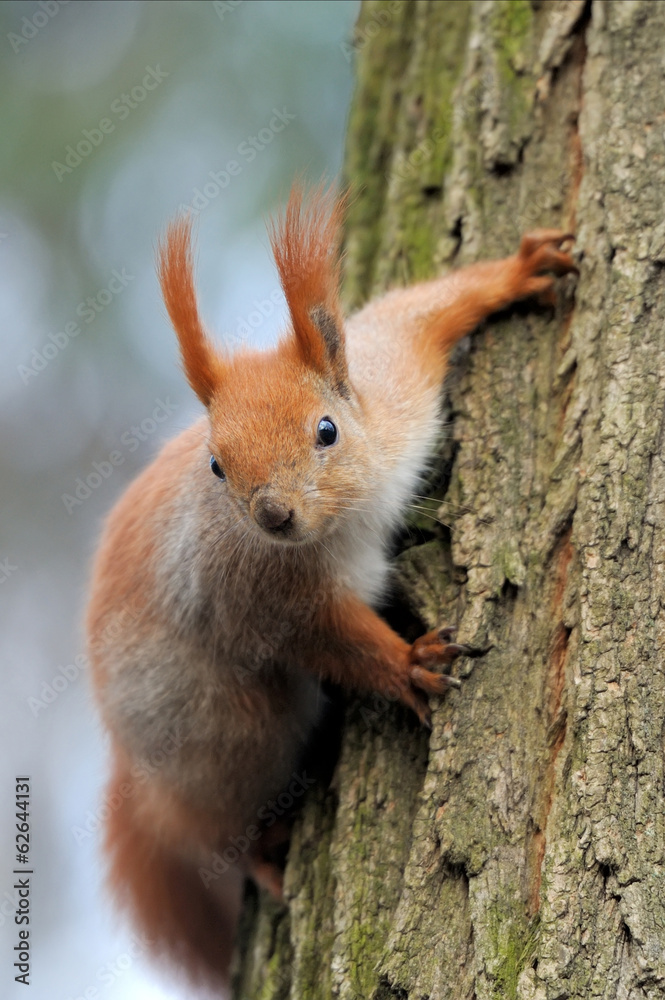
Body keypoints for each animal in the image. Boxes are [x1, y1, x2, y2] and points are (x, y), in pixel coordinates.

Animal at [86, 184, 576, 989]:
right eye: (217, 465)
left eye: (326, 430)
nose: (272, 514)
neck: (349, 516)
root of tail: (133, 762)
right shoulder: (263, 595)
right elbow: (334, 643)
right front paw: (409, 664)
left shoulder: (396, 381)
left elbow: (420, 312)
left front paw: (520, 270)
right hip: (223, 734)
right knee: (207, 826)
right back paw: (259, 855)